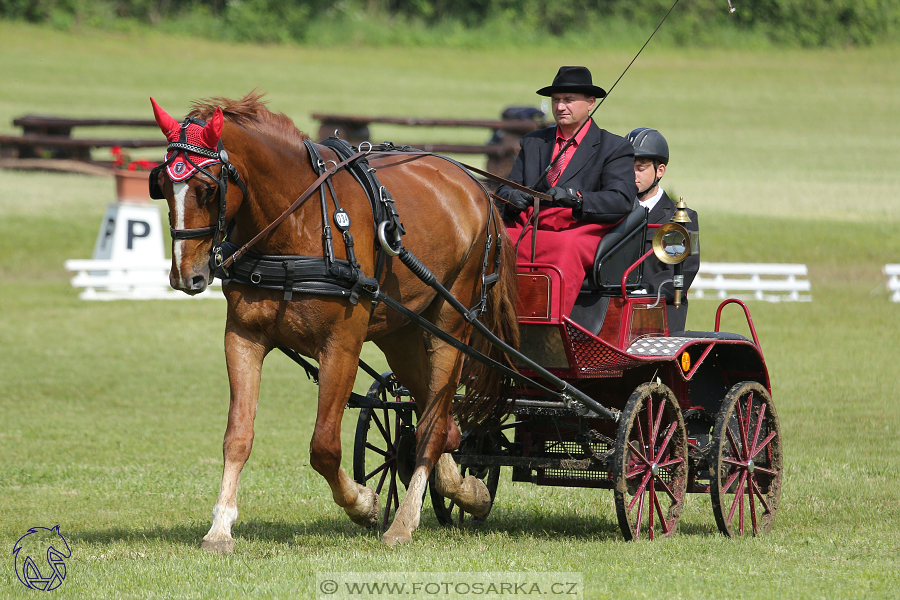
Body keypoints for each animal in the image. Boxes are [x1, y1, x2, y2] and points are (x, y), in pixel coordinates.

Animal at [149, 92, 520, 548]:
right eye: (161, 186)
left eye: (206, 189)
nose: (186, 276)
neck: (298, 221)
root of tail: (475, 186)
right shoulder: (242, 336)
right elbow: (237, 437)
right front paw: (220, 528)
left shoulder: (341, 345)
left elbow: (324, 447)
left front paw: (364, 503)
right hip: (402, 331)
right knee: (441, 420)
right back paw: (467, 491)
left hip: (451, 325)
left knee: (433, 425)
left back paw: (404, 522)